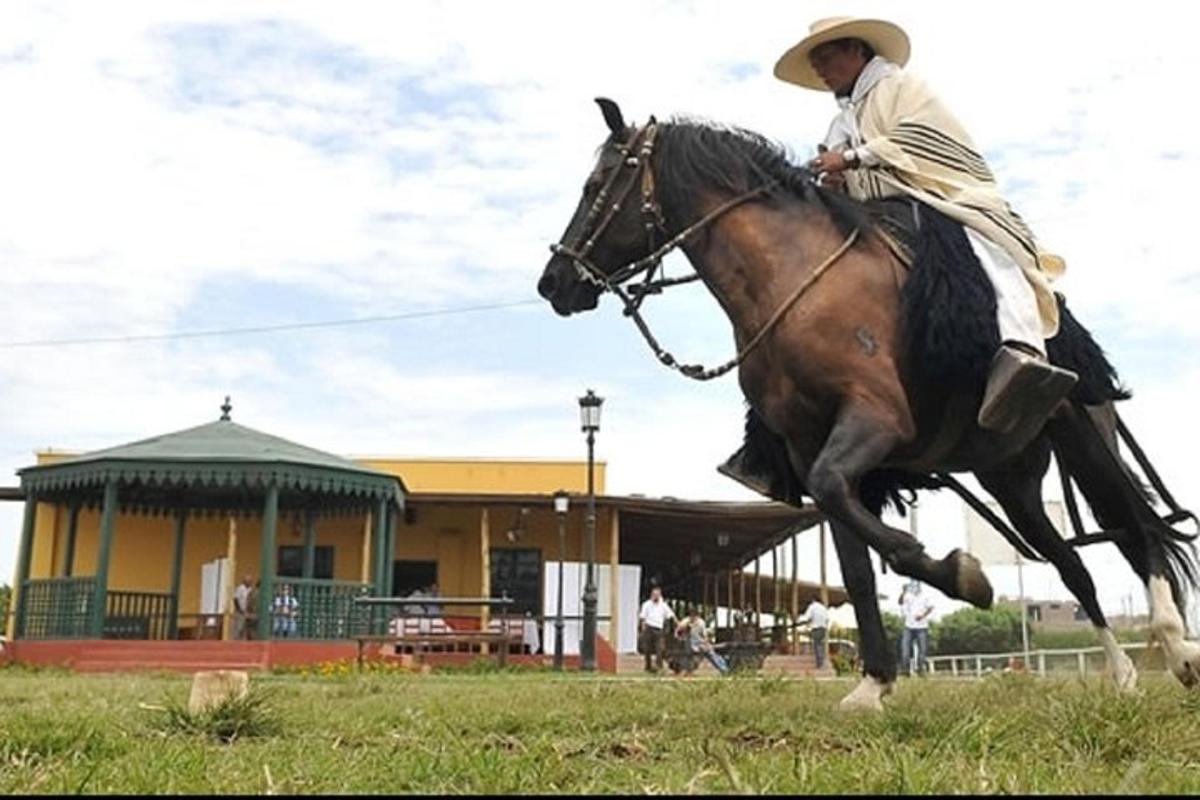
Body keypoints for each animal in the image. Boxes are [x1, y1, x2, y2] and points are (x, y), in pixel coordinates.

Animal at [540, 98, 1195, 705]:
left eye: (597, 184)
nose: (554, 282)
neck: (797, 281)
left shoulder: (875, 419)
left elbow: (855, 511)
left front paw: (958, 574)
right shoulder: (808, 445)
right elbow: (853, 562)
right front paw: (875, 682)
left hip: (1083, 438)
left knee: (1135, 527)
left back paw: (1176, 645)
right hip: (1009, 477)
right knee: (1072, 564)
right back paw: (1124, 674)